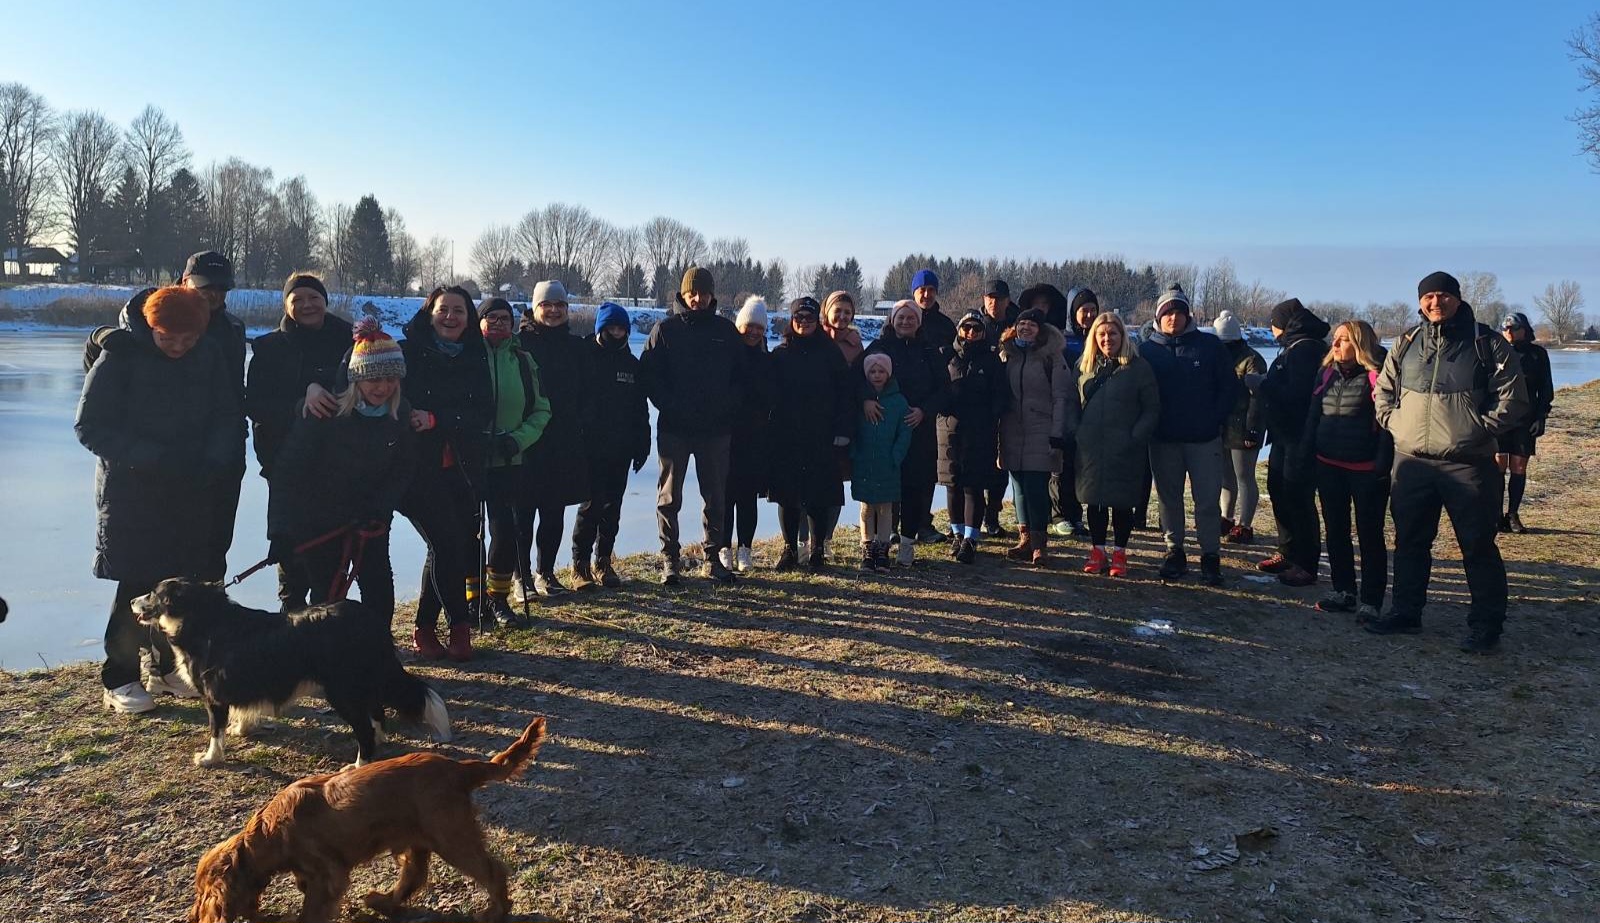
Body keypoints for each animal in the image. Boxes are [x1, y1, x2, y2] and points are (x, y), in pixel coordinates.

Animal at [133, 577, 450, 768]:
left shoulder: (214, 695)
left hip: (342, 691)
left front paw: (210, 757)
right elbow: (241, 712)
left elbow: (215, 730)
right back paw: (379, 740)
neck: (200, 617)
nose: (131, 601)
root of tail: (370, 621)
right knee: (376, 712)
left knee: (363, 725)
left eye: (152, 594)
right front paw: (241, 728)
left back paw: (360, 763)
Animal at [189, 717, 546, 923]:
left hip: (451, 836)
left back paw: (495, 912)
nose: (192, 916)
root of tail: (459, 769)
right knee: (414, 876)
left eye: (201, 893)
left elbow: (311, 909)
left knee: (491, 870)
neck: (268, 833)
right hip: (418, 838)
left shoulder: (328, 875)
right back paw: (384, 903)